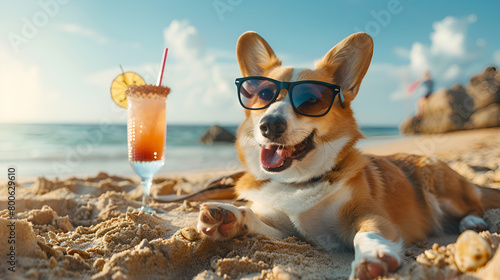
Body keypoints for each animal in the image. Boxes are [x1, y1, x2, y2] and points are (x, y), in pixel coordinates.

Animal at [196, 31, 500, 278]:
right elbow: (255, 216)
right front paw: (228, 216)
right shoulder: (287, 232)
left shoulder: (369, 213)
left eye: (311, 99)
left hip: (437, 182)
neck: (300, 180)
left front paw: (373, 257)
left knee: (474, 204)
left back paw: (472, 221)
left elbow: (366, 233)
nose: (269, 125)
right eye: (262, 94)